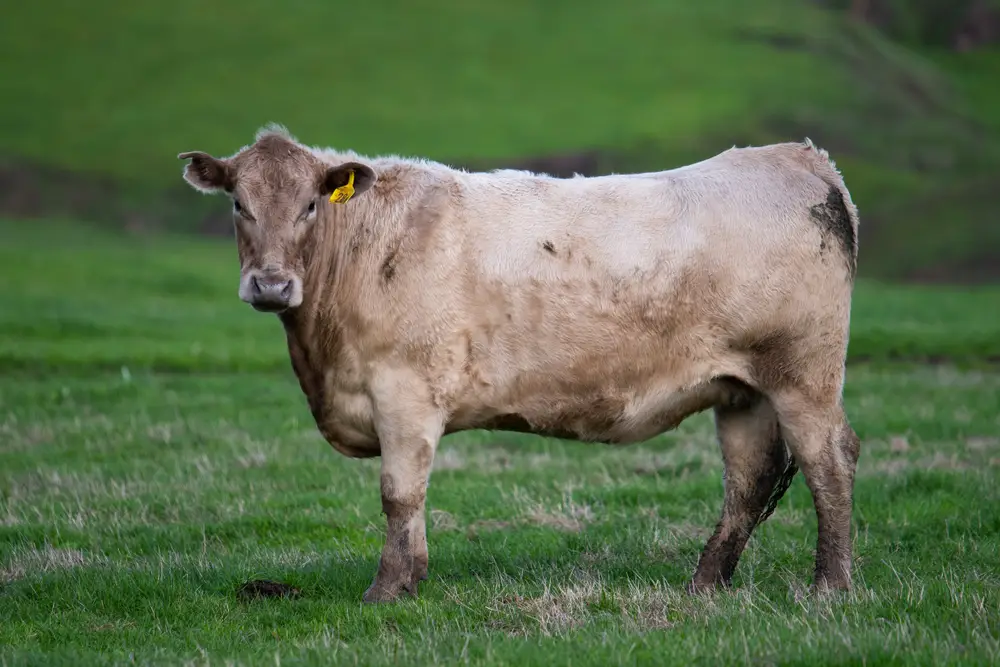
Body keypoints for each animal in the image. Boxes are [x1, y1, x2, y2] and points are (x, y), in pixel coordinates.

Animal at [178, 125, 860, 604]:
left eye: (311, 207)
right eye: (239, 204)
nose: (270, 285)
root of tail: (796, 156)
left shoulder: (403, 392)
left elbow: (400, 493)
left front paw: (387, 589)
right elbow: (412, 497)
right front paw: (413, 580)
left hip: (804, 376)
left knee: (830, 461)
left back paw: (830, 587)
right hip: (741, 390)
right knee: (749, 478)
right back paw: (705, 583)